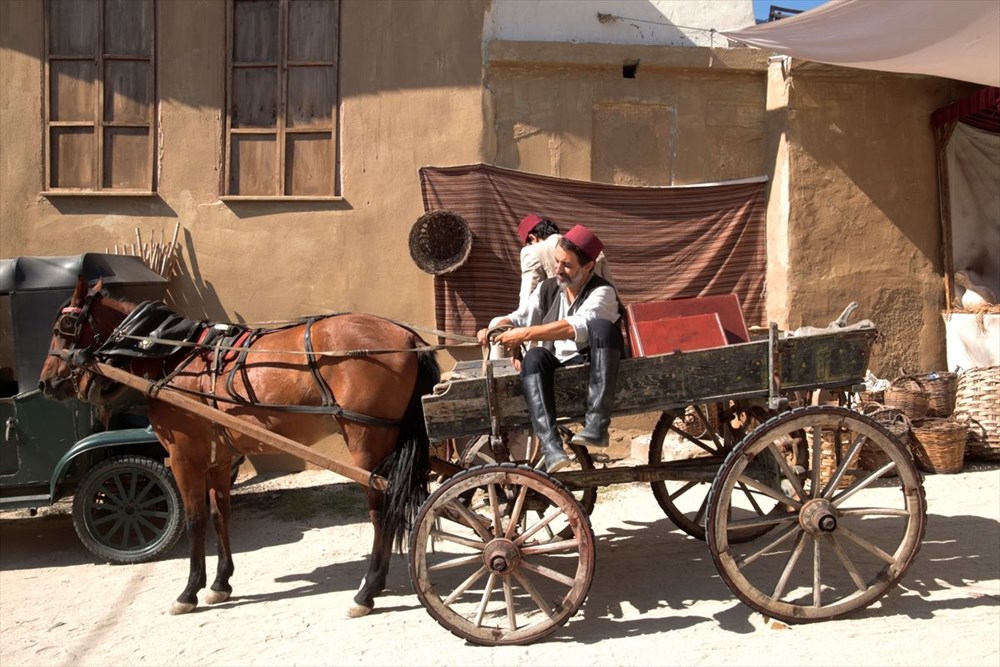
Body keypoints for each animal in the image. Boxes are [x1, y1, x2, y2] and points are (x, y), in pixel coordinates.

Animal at [40, 276, 438, 616]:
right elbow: (220, 517)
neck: (177, 355)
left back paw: (368, 590)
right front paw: (220, 583)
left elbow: (195, 521)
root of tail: (408, 337)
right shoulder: (218, 459)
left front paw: (189, 591)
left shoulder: (184, 458)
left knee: (381, 510)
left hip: (367, 444)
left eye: (65, 326)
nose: (47, 382)